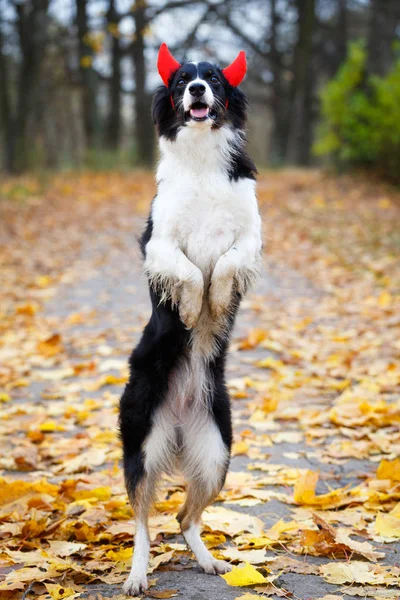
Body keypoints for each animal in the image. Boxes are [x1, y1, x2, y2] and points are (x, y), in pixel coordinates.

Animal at [119, 43, 262, 596]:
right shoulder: (156, 243)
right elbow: (187, 271)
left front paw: (217, 304)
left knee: (184, 518)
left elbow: (223, 264)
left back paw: (210, 562)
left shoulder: (252, 235)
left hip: (216, 451)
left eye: (215, 79)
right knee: (141, 522)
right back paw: (137, 575)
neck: (201, 157)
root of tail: (178, 422)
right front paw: (187, 308)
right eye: (182, 79)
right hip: (142, 444)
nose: (197, 90)